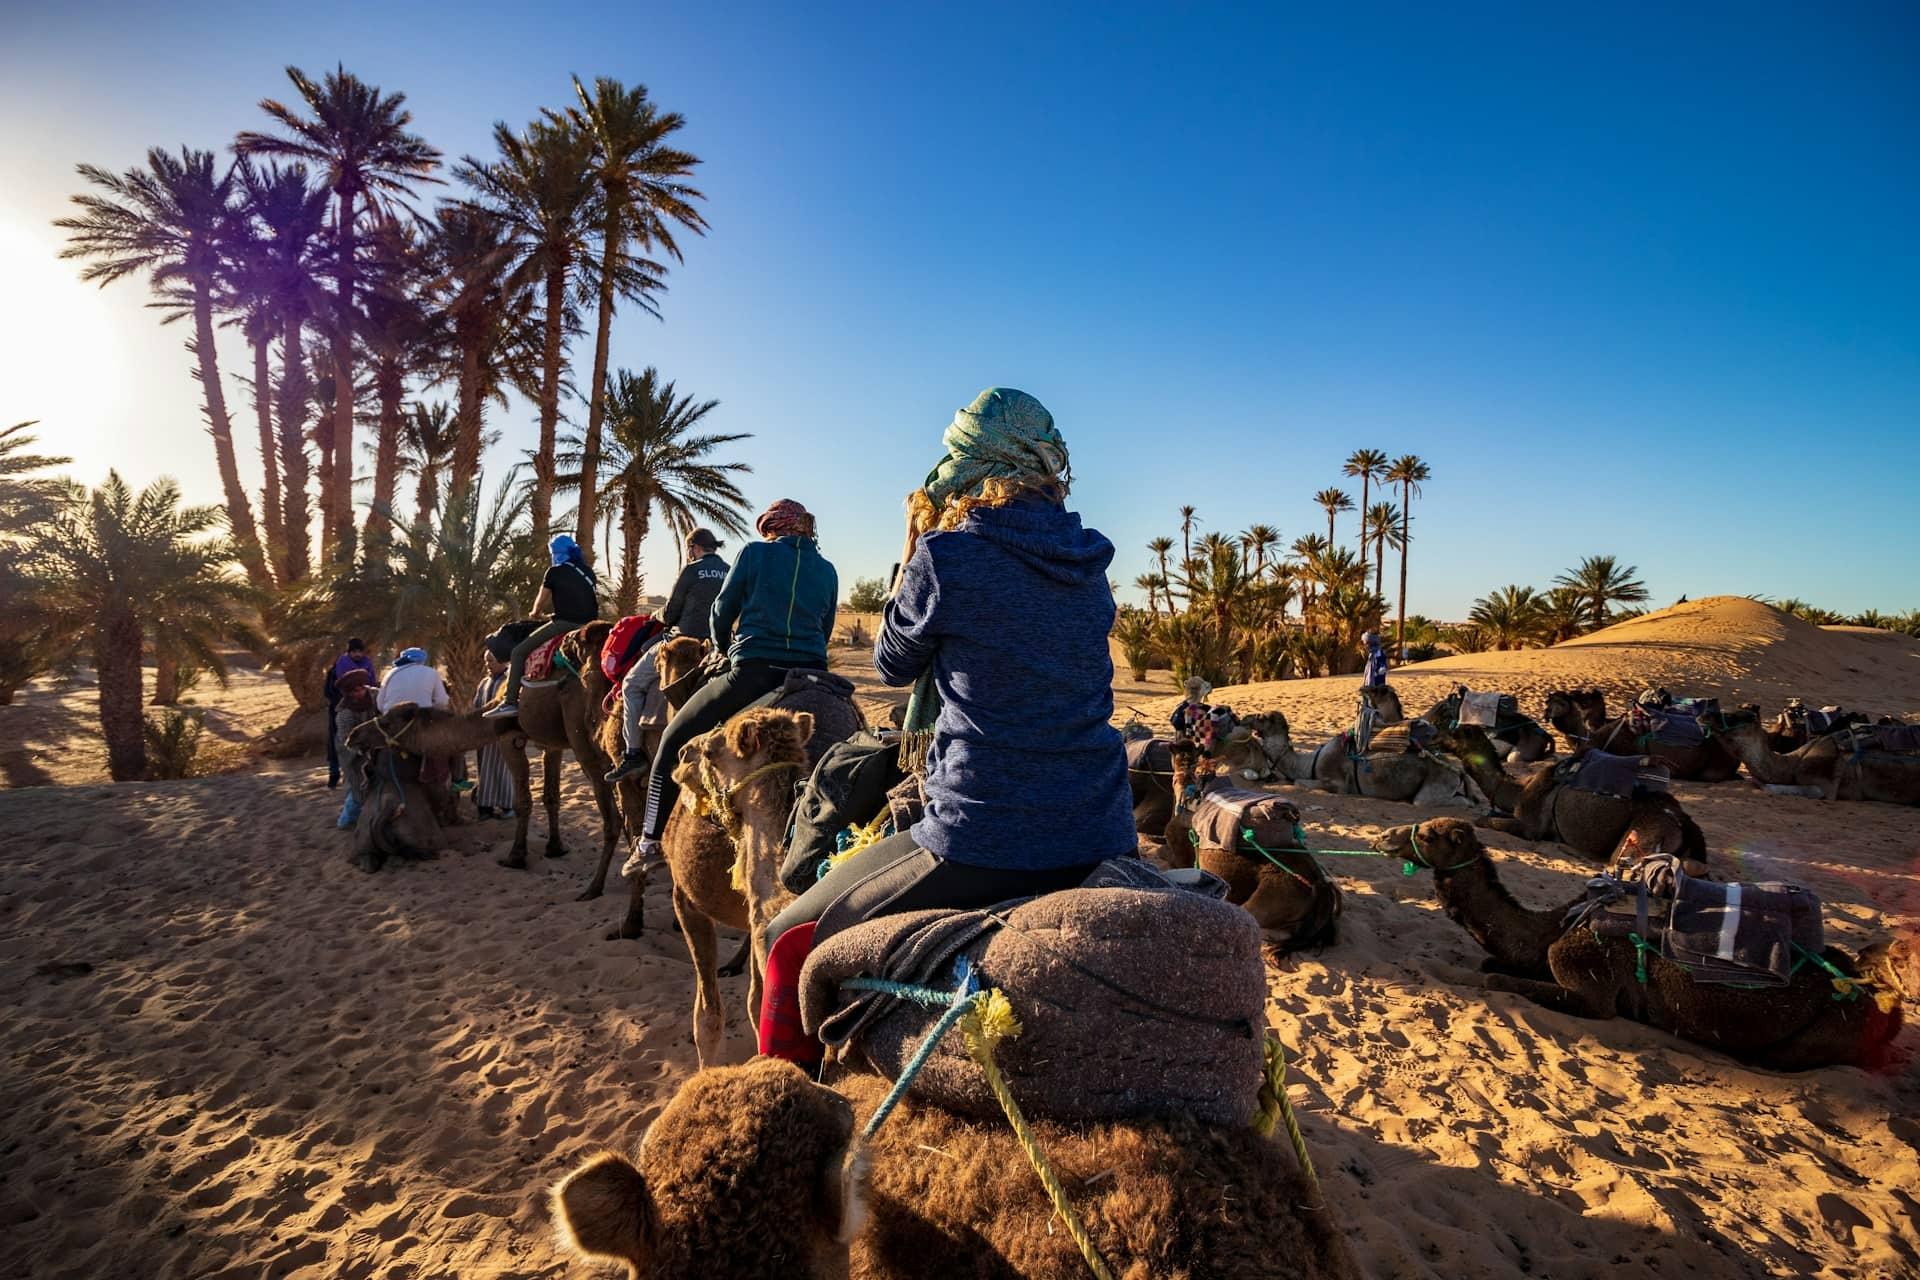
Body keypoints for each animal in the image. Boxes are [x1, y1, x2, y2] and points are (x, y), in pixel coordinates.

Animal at [1374, 821, 1912, 1074]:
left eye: (1430, 832)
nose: (1384, 836)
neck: (1553, 925)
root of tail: (1886, 1007)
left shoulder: (1588, 983)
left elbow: (1494, 974)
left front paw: (1447, 974)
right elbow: (1494, 960)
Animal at [1443, 725, 1712, 875]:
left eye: (1455, 733)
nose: (1436, 736)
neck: (1519, 789)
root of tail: (1682, 821)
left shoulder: (1530, 826)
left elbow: (1484, 821)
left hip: (1646, 836)